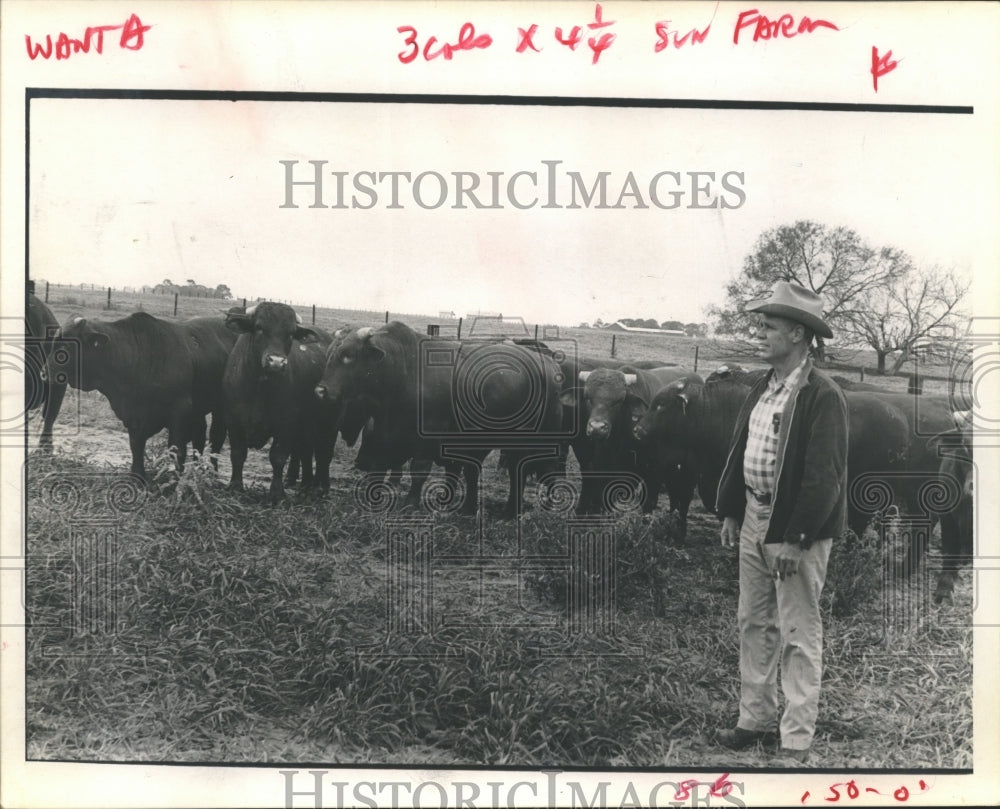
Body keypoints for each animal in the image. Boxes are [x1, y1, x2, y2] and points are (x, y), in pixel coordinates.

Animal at [44, 312, 235, 478]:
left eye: (67, 345)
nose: (44, 373)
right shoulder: (133, 416)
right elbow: (136, 446)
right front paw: (137, 475)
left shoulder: (180, 411)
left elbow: (176, 449)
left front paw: (175, 481)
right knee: (200, 436)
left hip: (219, 408)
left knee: (215, 439)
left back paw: (211, 473)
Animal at [223, 302, 335, 503]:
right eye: (259, 327)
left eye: (290, 333)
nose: (276, 362)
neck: (259, 387)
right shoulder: (233, 420)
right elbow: (237, 453)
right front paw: (235, 486)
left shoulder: (287, 423)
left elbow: (278, 457)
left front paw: (276, 493)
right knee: (305, 451)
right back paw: (305, 486)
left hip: (328, 421)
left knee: (324, 452)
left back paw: (322, 487)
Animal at [314, 321, 564, 518]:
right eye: (330, 354)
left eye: (348, 356)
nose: (320, 391)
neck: (404, 372)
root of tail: (549, 365)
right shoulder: (387, 435)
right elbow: (379, 467)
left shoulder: (428, 437)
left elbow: (419, 470)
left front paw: (410, 503)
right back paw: (473, 510)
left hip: (527, 443)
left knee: (520, 471)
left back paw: (513, 511)